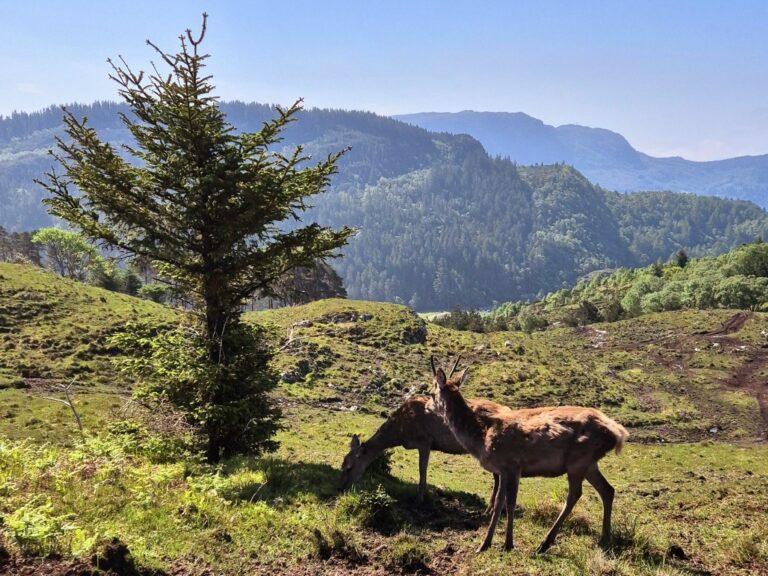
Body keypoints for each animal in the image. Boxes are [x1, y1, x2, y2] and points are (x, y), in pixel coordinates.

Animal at [428, 358, 628, 556]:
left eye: (431, 393)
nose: (428, 406)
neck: (481, 439)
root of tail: (618, 434)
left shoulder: (511, 465)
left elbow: (508, 503)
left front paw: (500, 544)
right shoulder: (504, 470)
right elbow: (503, 503)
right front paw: (494, 543)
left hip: (578, 460)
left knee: (575, 494)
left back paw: (545, 543)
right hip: (589, 464)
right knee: (607, 490)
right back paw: (605, 539)